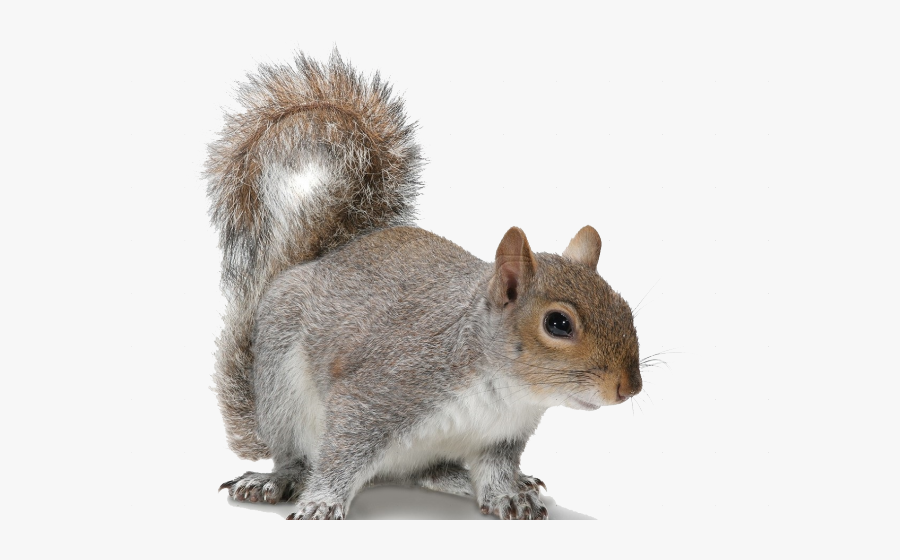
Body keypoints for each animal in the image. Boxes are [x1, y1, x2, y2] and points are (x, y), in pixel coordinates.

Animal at [206, 51, 642, 520]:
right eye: (558, 324)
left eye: (626, 309)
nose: (630, 387)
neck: (504, 392)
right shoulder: (380, 391)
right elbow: (340, 454)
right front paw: (321, 503)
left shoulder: (500, 438)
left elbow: (495, 471)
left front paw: (507, 495)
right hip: (281, 386)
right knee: (298, 456)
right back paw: (276, 479)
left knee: (426, 473)